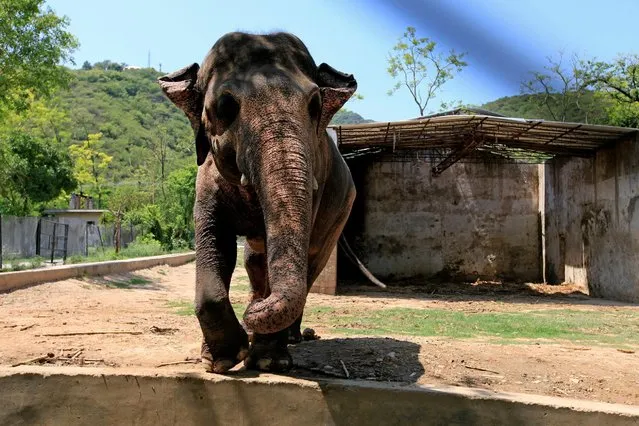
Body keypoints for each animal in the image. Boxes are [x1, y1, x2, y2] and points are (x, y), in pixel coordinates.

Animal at [160, 32, 380, 372]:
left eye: (315, 105)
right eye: (225, 106)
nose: (252, 313)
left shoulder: (315, 181)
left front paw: (267, 362)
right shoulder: (206, 178)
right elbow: (217, 243)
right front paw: (221, 361)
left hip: (341, 211)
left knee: (310, 262)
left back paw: (288, 337)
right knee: (254, 261)